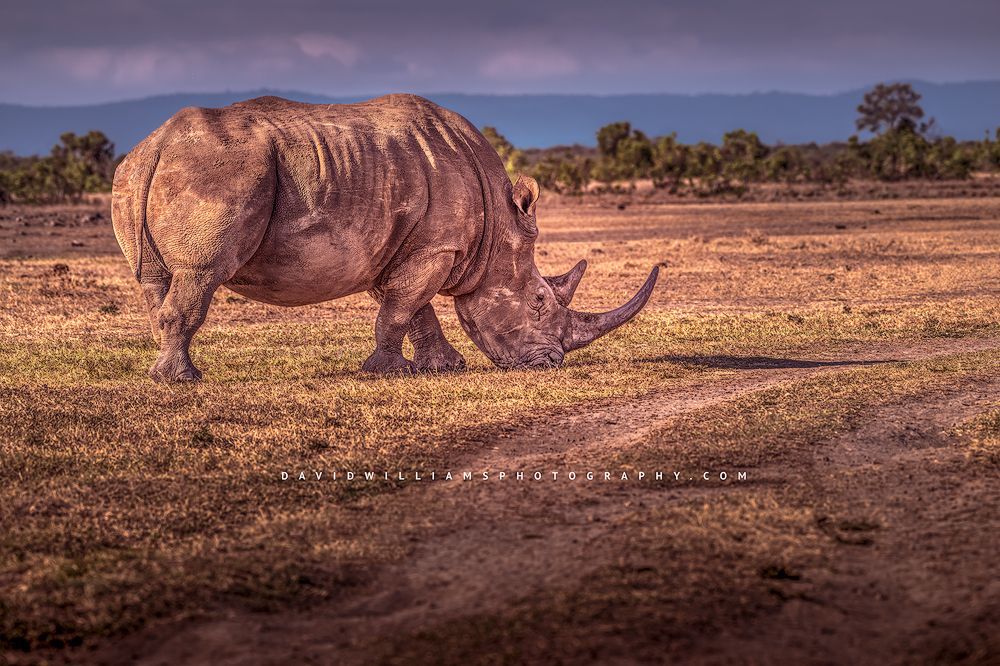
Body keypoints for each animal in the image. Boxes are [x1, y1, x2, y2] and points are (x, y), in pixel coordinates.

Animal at [111, 94, 658, 380]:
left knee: (155, 277)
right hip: (218, 170)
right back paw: (184, 378)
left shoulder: (403, 247)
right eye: (540, 301)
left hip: (135, 173)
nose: (549, 364)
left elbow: (413, 308)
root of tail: (157, 143)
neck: (499, 229)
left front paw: (444, 367)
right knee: (201, 273)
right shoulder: (437, 247)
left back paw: (167, 370)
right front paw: (382, 372)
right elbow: (402, 307)